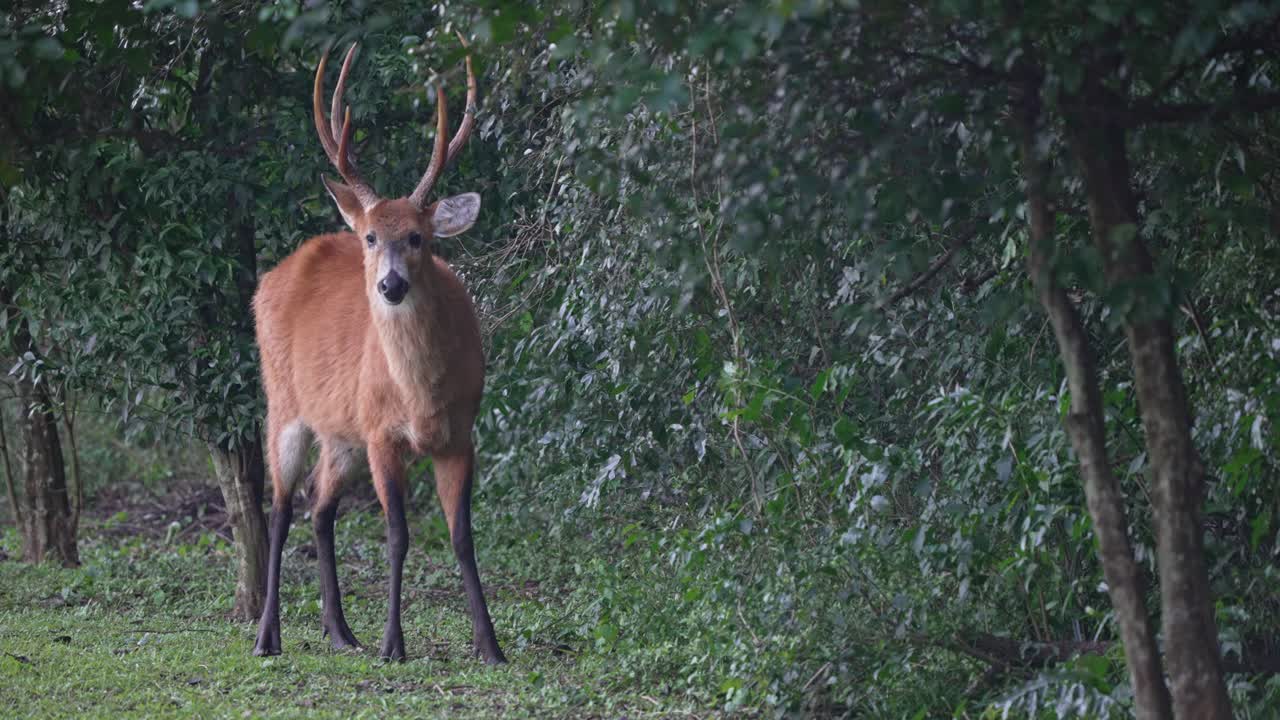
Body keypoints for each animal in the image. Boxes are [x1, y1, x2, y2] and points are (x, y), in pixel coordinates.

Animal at [250, 36, 505, 664]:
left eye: (418, 237)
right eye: (370, 237)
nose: (390, 285)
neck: (419, 397)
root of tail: (275, 274)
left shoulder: (460, 434)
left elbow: (462, 536)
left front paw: (490, 645)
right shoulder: (382, 434)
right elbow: (398, 535)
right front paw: (394, 643)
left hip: (341, 432)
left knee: (318, 506)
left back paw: (341, 632)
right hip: (284, 404)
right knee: (280, 507)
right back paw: (268, 636)